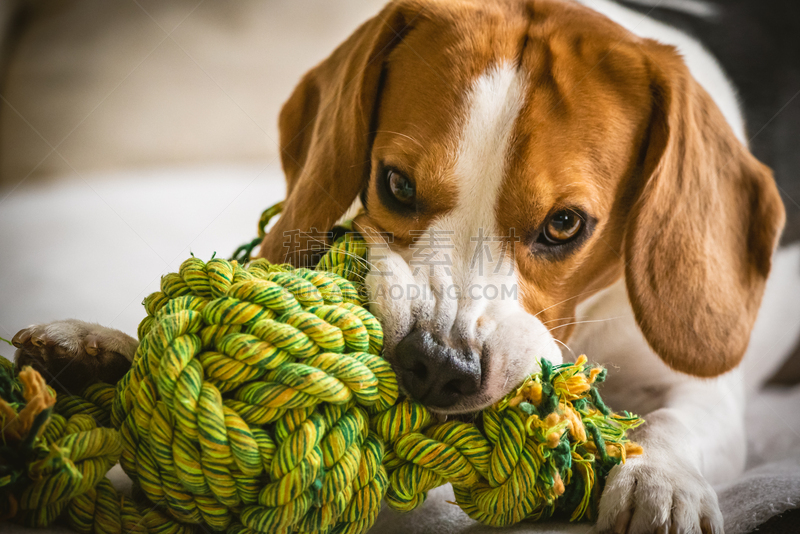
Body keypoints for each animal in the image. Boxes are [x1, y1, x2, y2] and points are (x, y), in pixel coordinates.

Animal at [12, 1, 800, 534]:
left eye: (565, 225)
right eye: (395, 184)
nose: (437, 366)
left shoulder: (706, 393)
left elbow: (675, 424)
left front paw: (658, 482)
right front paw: (98, 350)